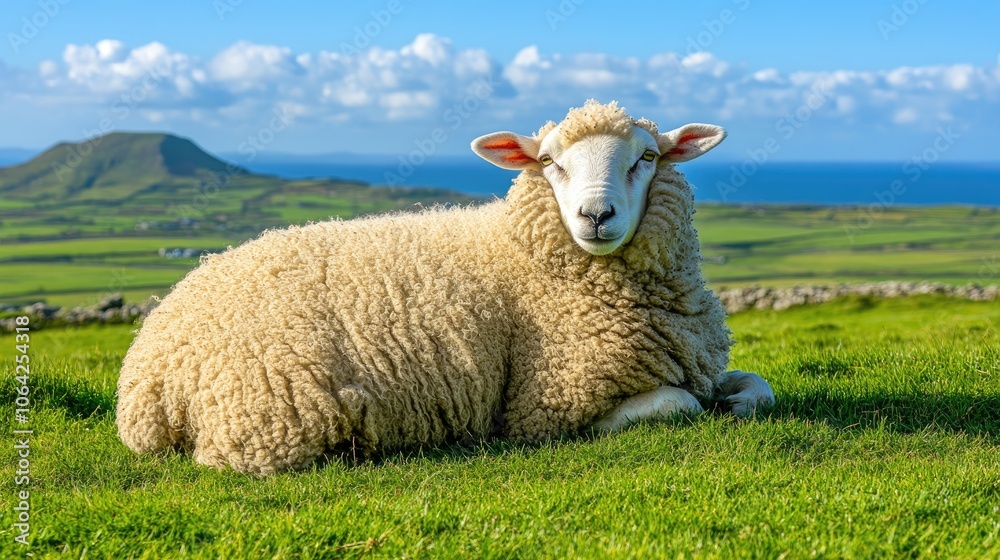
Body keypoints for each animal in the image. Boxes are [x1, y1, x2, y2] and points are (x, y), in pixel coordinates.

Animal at [116, 100, 775, 475]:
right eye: (550, 163)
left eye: (647, 157)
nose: (596, 216)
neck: (522, 252)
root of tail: (149, 365)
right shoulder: (541, 408)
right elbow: (678, 404)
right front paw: (706, 407)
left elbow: (758, 390)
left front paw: (736, 400)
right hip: (271, 413)